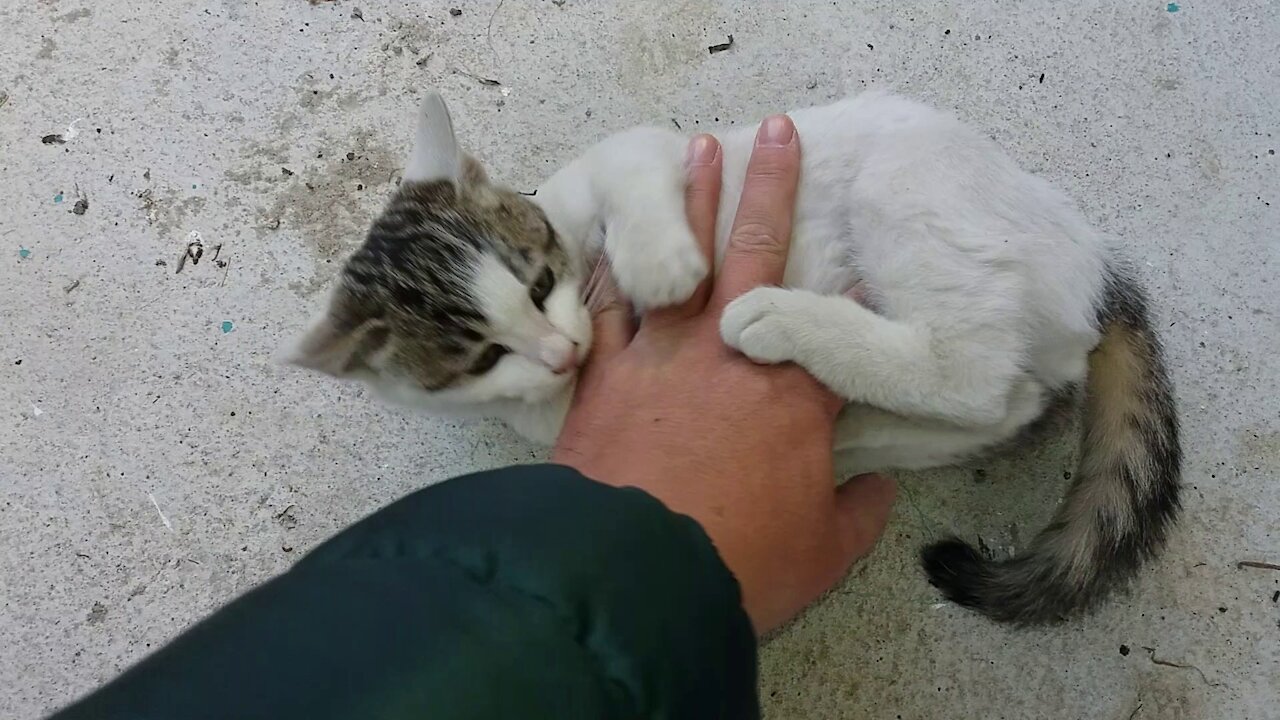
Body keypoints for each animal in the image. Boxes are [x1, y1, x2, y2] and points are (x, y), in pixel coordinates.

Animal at [288, 90, 1177, 622]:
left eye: (538, 281)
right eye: (481, 359)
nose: (561, 349)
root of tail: (1095, 263)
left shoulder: (648, 155)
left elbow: (631, 168)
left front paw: (658, 265)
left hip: (916, 200)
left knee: (977, 374)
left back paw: (780, 319)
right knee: (1004, 401)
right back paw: (851, 431)